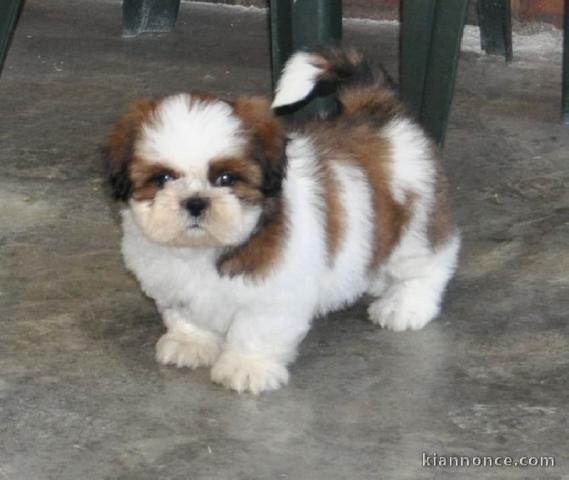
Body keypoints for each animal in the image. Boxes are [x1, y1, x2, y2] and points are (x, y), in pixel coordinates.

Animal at [106, 46, 460, 394]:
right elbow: (184, 313)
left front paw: (247, 367)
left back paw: (406, 306)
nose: (195, 202)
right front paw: (190, 342)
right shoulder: (172, 284)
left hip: (415, 225)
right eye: (163, 178)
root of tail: (378, 110)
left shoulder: (275, 293)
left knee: (430, 263)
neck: (204, 250)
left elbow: (255, 329)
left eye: (225, 178)